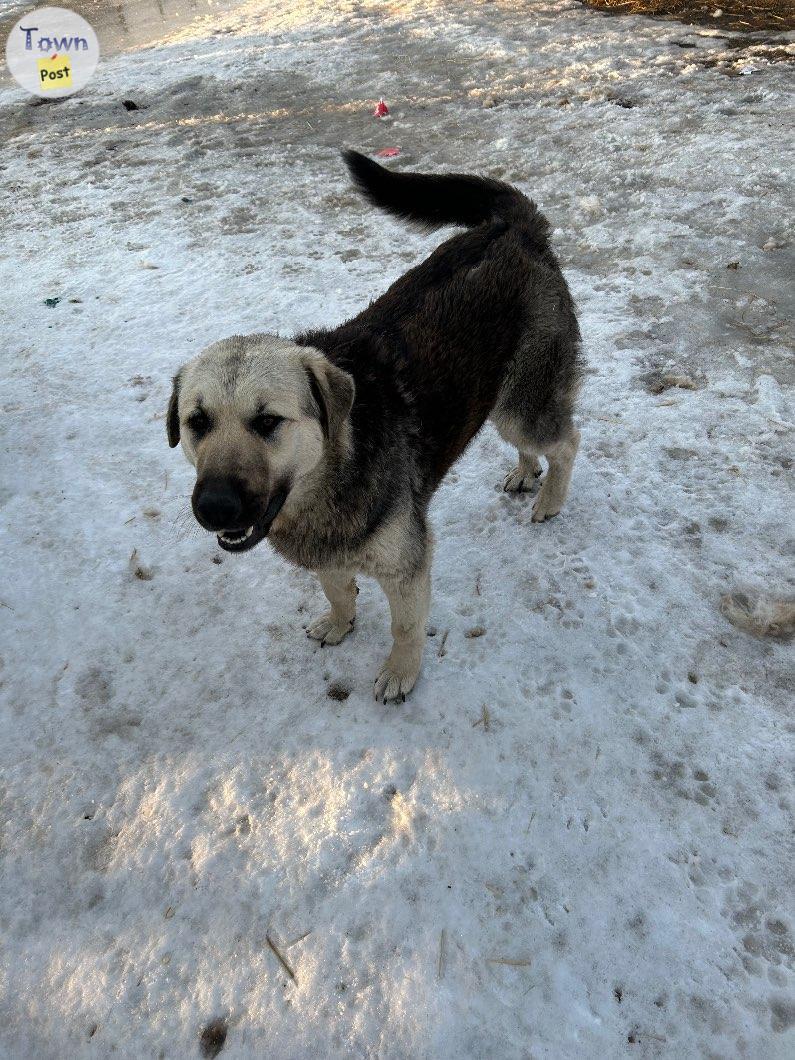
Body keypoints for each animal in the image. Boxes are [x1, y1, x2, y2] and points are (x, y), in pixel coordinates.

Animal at [166, 147, 585, 695]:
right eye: (197, 422)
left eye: (268, 421)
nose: (214, 507)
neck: (333, 472)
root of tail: (513, 228)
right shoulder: (328, 553)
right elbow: (338, 591)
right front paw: (340, 624)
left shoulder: (407, 563)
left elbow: (405, 626)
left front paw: (400, 672)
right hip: (501, 398)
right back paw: (525, 471)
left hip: (522, 405)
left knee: (567, 440)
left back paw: (550, 498)